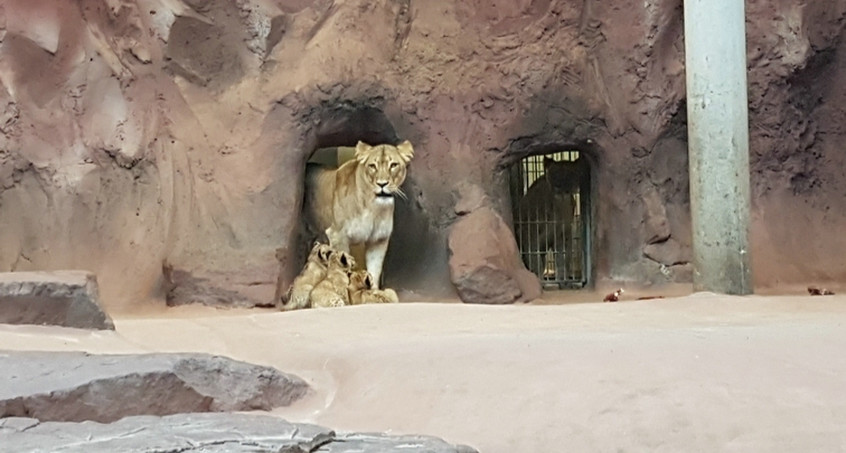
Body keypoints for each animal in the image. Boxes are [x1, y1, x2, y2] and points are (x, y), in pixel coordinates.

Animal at [304, 139, 414, 288]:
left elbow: (375, 270)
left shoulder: (378, 240)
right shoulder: (337, 235)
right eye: (372, 166)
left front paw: (374, 290)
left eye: (393, 165)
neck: (372, 207)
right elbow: (341, 268)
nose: (382, 184)